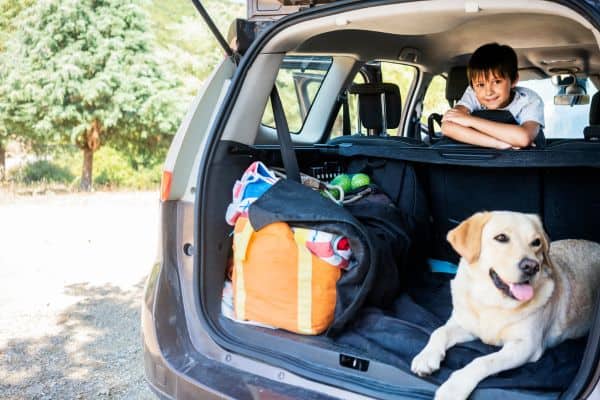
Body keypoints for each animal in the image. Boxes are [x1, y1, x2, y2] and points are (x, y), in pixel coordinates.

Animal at [410, 211, 600, 398]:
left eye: (536, 242)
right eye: (501, 238)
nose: (532, 266)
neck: (493, 302)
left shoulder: (526, 346)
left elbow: (483, 361)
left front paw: (454, 387)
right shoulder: (463, 324)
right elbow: (439, 331)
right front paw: (426, 356)